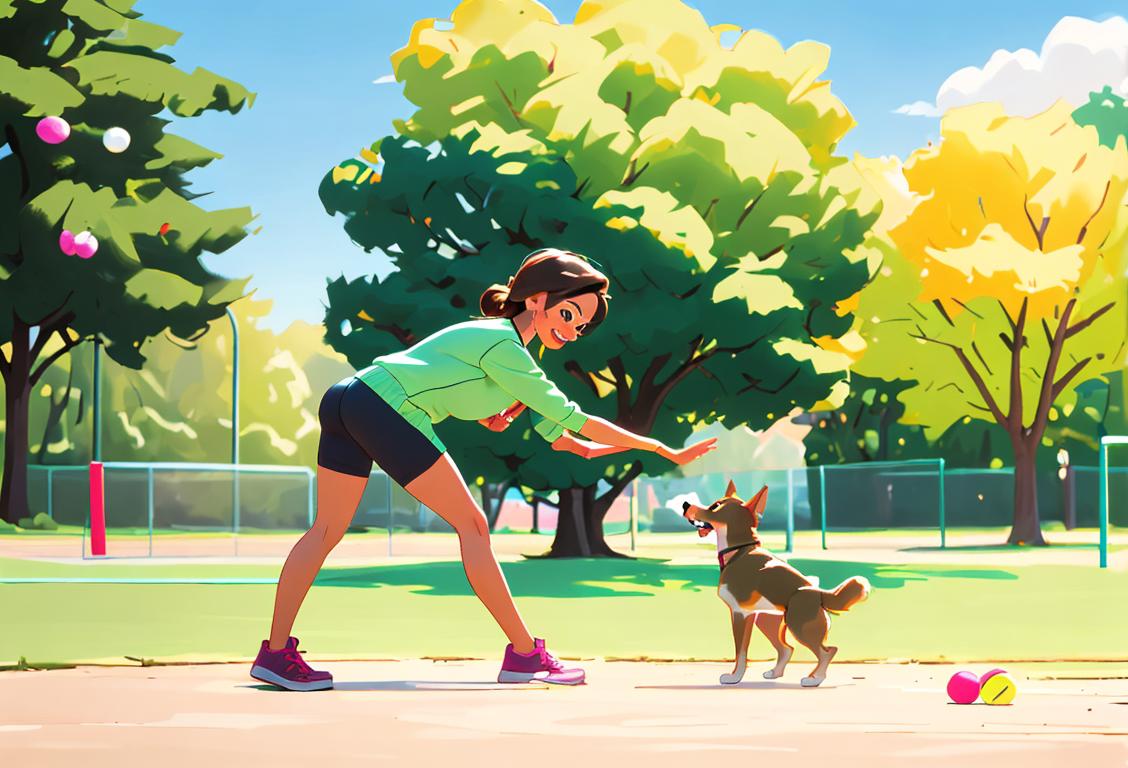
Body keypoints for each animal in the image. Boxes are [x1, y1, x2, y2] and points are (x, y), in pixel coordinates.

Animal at [676, 482, 870, 685]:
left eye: (715, 506)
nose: (685, 504)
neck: (740, 551)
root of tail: (821, 594)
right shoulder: (747, 615)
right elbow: (745, 651)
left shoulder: (740, 614)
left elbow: (741, 652)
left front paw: (734, 677)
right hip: (767, 620)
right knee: (787, 649)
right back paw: (776, 673)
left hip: (798, 626)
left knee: (828, 651)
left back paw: (814, 679)